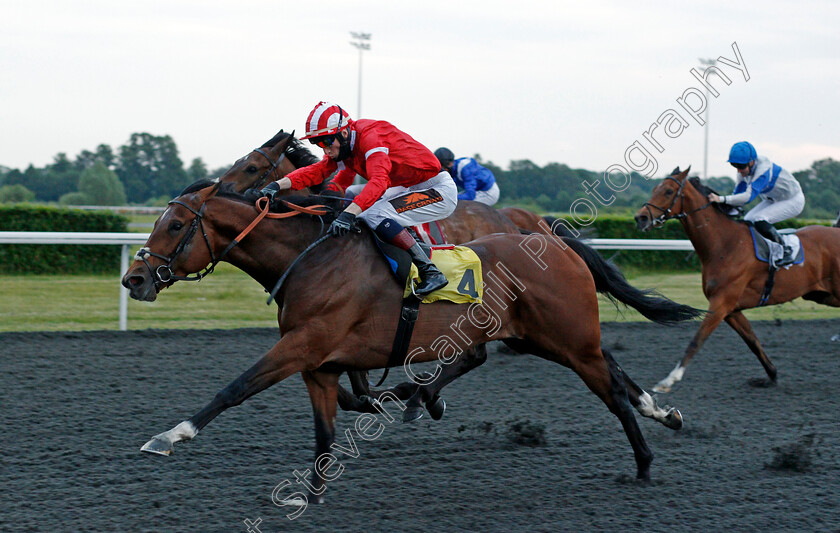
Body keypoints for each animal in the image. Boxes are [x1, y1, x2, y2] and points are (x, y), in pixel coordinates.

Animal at [123, 179, 704, 494]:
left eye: (174, 225)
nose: (135, 279)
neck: (312, 257)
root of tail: (553, 239)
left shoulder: (304, 344)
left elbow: (236, 387)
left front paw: (169, 436)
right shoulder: (326, 356)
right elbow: (345, 402)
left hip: (567, 340)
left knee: (610, 388)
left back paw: (645, 460)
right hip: (544, 338)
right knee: (609, 370)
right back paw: (663, 413)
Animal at [632, 166, 840, 390]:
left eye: (669, 191)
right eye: (654, 188)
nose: (640, 218)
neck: (725, 244)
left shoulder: (721, 303)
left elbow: (697, 340)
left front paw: (669, 380)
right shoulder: (731, 309)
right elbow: (752, 341)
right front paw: (771, 375)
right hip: (821, 294)